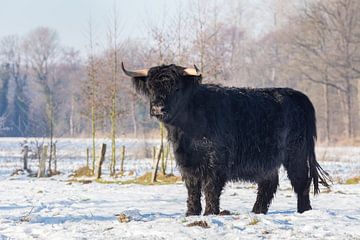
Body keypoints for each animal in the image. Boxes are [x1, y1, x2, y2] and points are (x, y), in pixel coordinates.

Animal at [122, 62, 330, 215]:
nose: (158, 108)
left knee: (301, 180)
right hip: (268, 159)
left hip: (296, 152)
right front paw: (191, 213)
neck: (187, 130)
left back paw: (304, 211)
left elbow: (210, 188)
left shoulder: (217, 161)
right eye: (150, 87)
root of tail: (297, 95)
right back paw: (256, 211)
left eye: (176, 87)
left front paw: (210, 213)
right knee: (268, 183)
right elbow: (192, 188)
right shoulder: (186, 161)